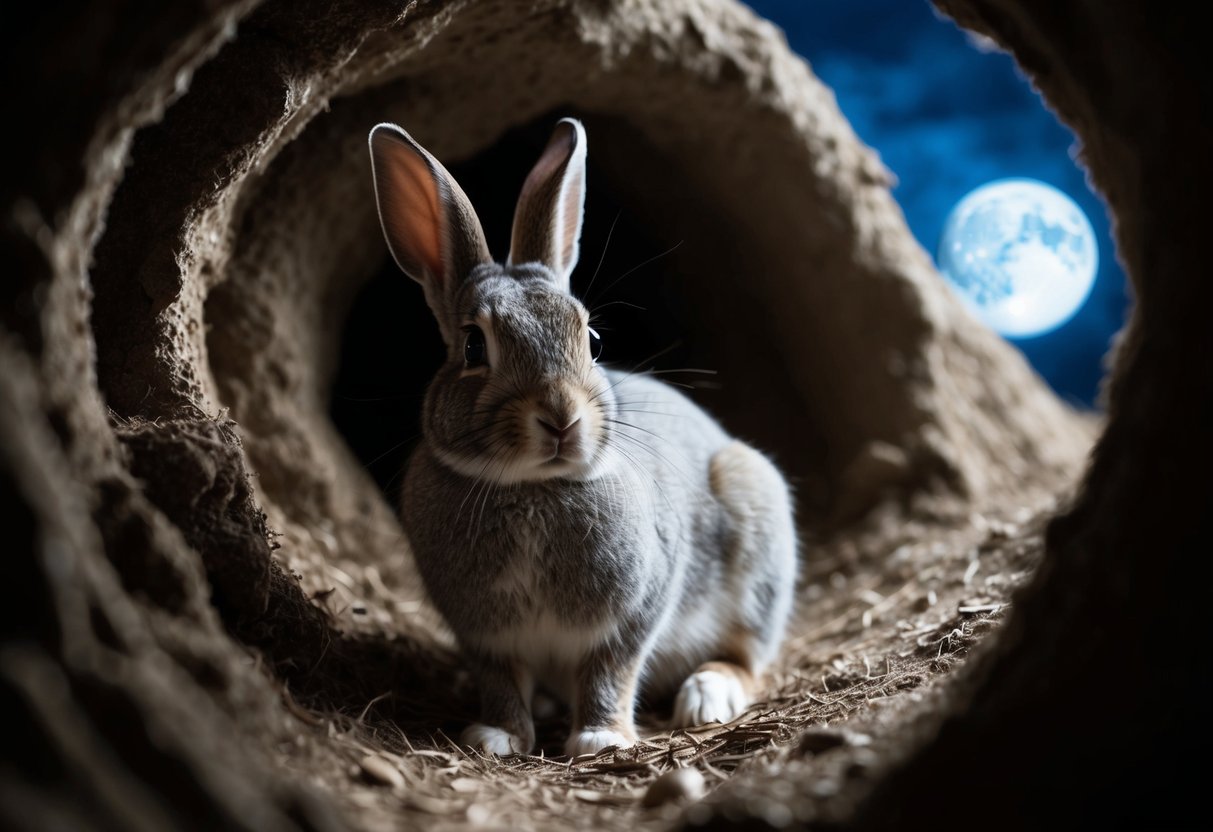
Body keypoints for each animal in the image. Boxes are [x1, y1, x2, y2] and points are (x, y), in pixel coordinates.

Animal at [368, 117, 798, 757]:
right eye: (473, 346)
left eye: (591, 340)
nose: (560, 418)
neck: (531, 486)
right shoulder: (483, 637)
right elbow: (501, 682)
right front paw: (497, 737)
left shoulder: (635, 612)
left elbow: (609, 669)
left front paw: (601, 739)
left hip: (757, 534)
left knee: (747, 655)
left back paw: (707, 695)